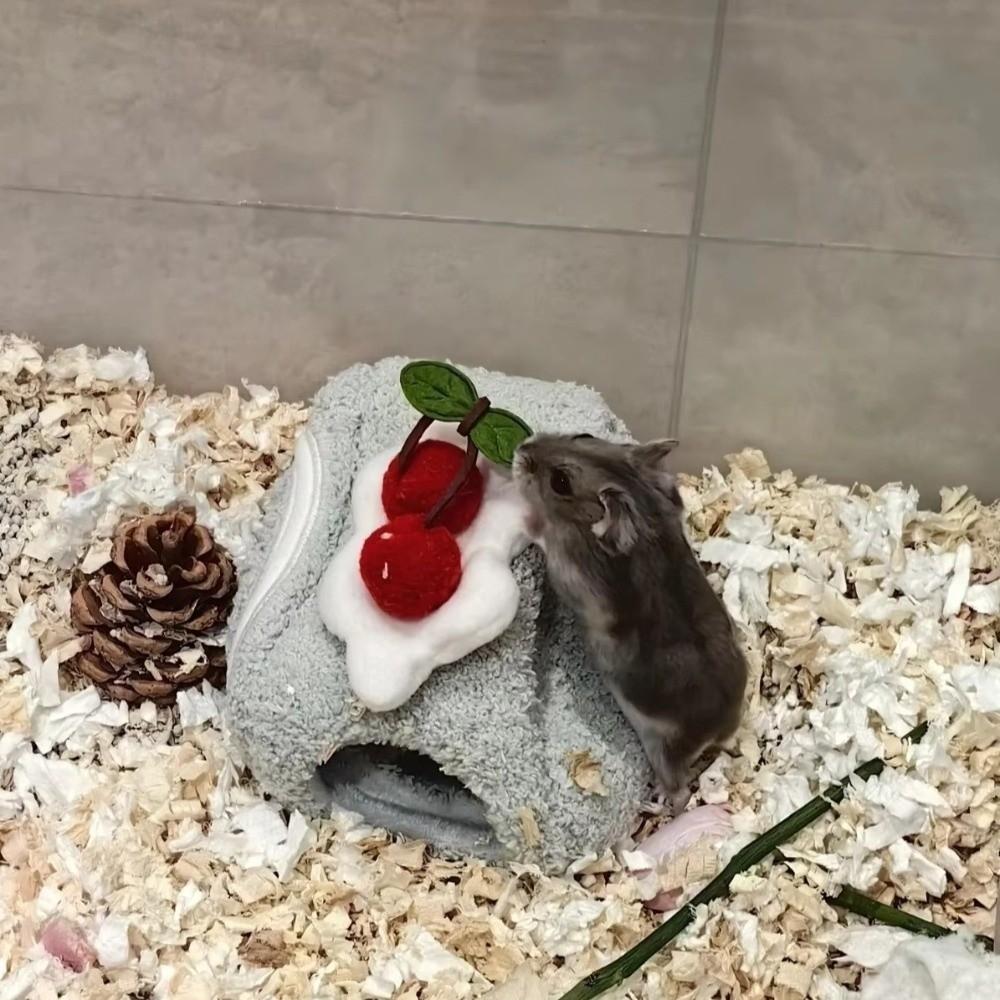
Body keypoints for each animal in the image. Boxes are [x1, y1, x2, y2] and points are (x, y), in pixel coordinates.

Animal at [513, 433, 747, 811]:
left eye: (560, 481)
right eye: (584, 436)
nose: (522, 447)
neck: (646, 515)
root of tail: (721, 727)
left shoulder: (567, 572)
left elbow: (543, 537)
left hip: (663, 750)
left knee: (681, 793)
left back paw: (655, 803)